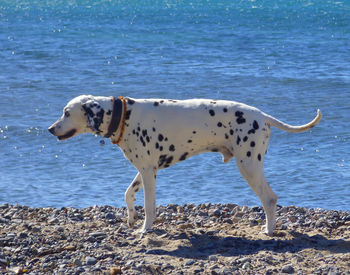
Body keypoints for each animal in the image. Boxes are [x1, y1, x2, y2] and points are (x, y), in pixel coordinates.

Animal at [47, 95, 322, 237]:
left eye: (67, 112)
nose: (50, 129)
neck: (124, 116)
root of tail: (263, 116)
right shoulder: (145, 170)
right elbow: (127, 195)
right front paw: (131, 218)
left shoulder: (149, 173)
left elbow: (150, 207)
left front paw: (145, 229)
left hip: (249, 166)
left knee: (270, 199)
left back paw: (269, 230)